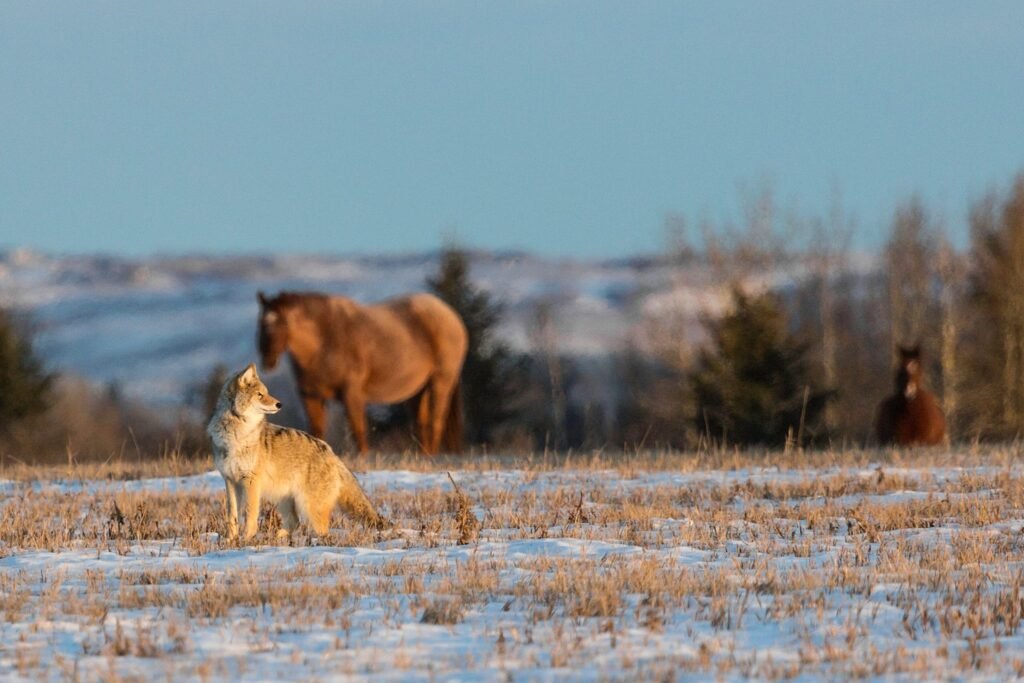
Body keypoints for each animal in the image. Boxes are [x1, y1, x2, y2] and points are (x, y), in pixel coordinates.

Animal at [257, 291, 468, 455]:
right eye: (261, 323)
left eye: (283, 323)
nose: (268, 361)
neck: (323, 342)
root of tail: (451, 315)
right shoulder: (310, 395)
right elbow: (316, 430)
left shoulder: (352, 392)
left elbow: (357, 427)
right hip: (418, 391)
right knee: (422, 424)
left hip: (441, 381)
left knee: (436, 420)